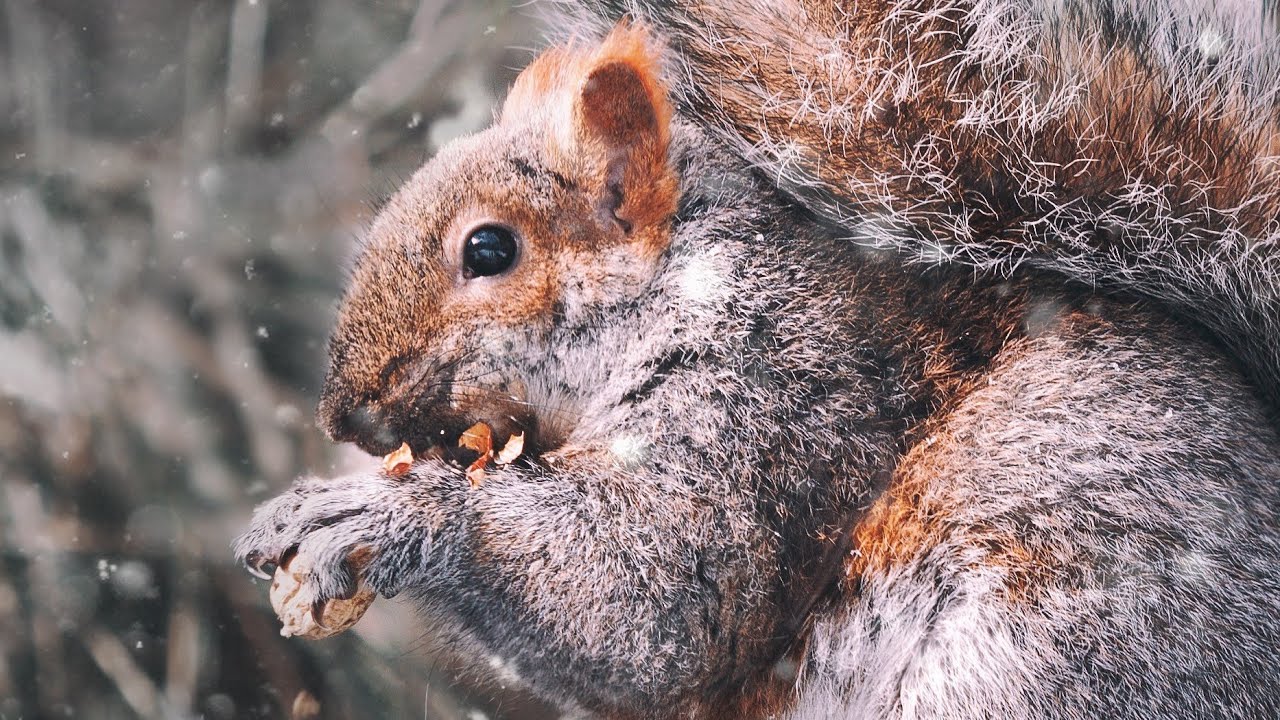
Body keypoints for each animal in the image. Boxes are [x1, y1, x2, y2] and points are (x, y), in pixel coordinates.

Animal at [236, 0, 1280, 717]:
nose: (343, 414)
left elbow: (654, 598)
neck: (681, 289)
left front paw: (377, 511)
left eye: (489, 250)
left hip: (1055, 654)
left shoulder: (773, 392)